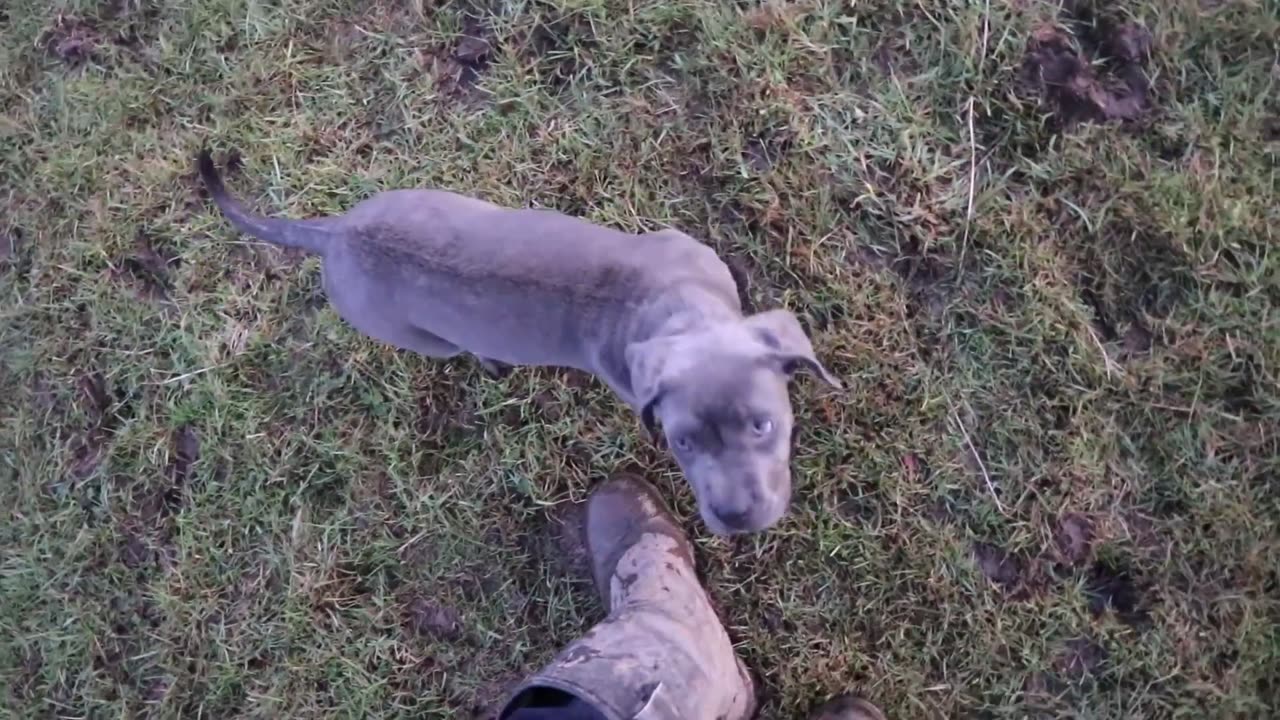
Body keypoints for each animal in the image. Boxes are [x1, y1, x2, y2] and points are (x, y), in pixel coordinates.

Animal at [197, 151, 839, 532]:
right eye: (681, 443)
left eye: (762, 425)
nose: (736, 517)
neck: (675, 309)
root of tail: (333, 235)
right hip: (425, 337)